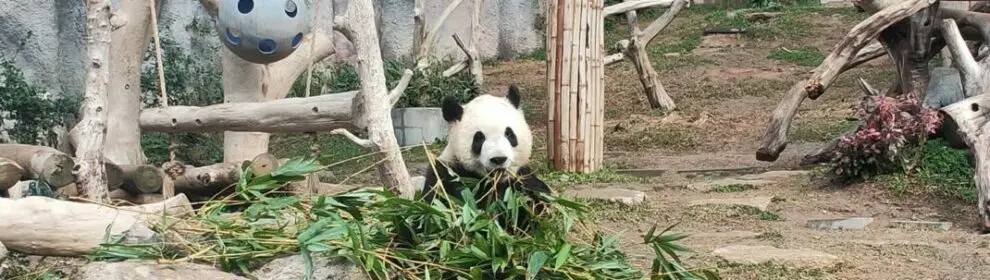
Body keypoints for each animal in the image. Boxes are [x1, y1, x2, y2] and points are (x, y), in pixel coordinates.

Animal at [422, 84, 556, 233]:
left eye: (509, 134)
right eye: (479, 137)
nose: (499, 159)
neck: (495, 181)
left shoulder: (522, 175)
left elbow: (537, 204)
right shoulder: (448, 174)